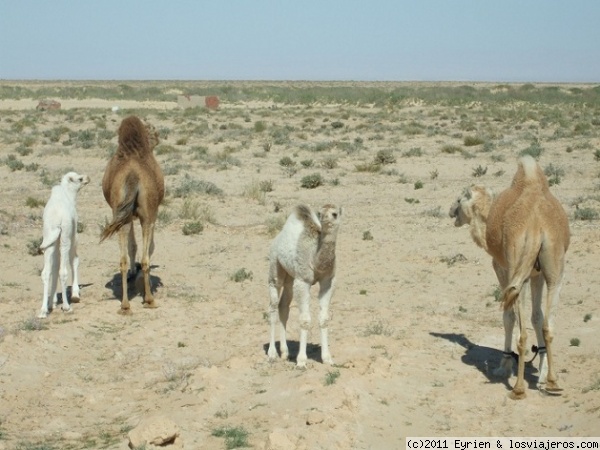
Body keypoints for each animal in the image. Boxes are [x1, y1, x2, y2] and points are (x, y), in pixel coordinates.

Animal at [101, 115, 164, 312]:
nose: (157, 138)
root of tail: (133, 177)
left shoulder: (125, 215)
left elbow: (132, 245)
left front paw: (132, 273)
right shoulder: (153, 213)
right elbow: (150, 246)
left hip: (120, 215)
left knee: (122, 259)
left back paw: (125, 304)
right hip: (147, 215)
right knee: (145, 258)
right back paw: (149, 299)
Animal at [450, 156, 572, 400]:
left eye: (459, 198)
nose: (450, 210)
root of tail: (537, 227)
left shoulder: (502, 268)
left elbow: (508, 317)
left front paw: (503, 366)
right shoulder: (537, 275)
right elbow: (537, 317)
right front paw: (542, 373)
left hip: (518, 268)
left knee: (521, 331)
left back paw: (518, 388)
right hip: (554, 267)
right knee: (549, 324)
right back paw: (553, 382)